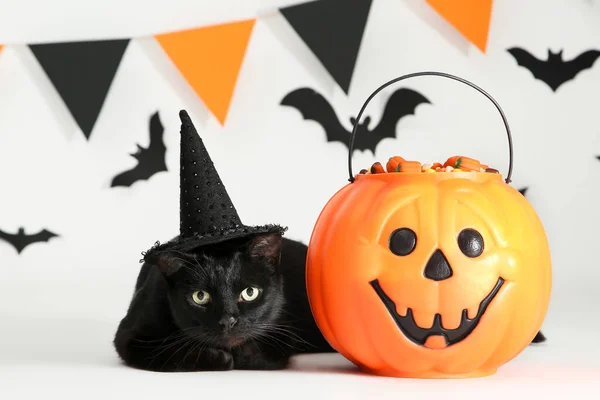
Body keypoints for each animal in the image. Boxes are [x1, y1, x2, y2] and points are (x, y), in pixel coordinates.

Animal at [112, 233, 332, 370]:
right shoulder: (130, 336)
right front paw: (219, 357)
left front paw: (241, 355)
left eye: (250, 292)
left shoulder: (283, 330)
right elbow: (167, 352)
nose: (227, 320)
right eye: (200, 296)